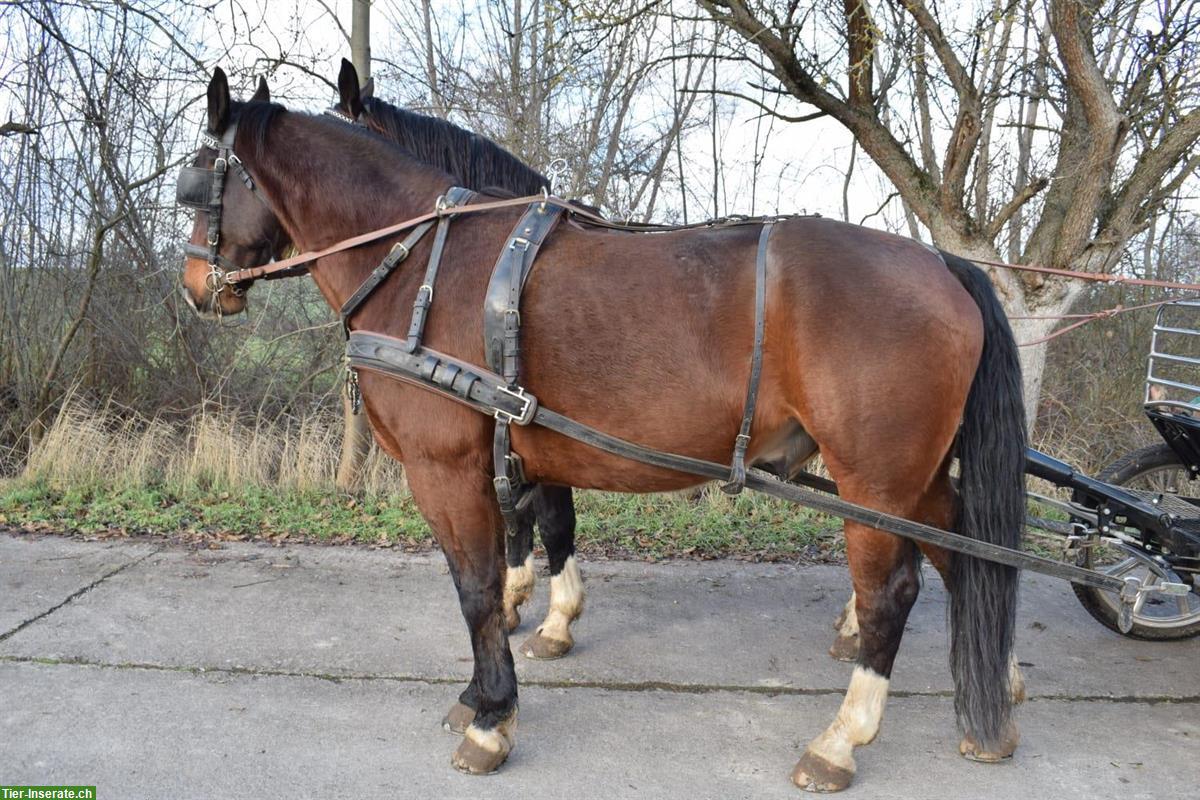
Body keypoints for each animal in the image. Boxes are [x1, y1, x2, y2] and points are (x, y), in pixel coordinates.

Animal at [182, 70, 1027, 796]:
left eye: (196, 182)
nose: (195, 287)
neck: (425, 258)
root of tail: (942, 264)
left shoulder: (445, 467)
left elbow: (478, 584)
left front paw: (493, 713)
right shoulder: (524, 447)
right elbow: (540, 533)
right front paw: (521, 649)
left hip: (874, 478)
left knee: (892, 593)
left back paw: (842, 739)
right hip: (912, 477)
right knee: (968, 556)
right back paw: (997, 686)